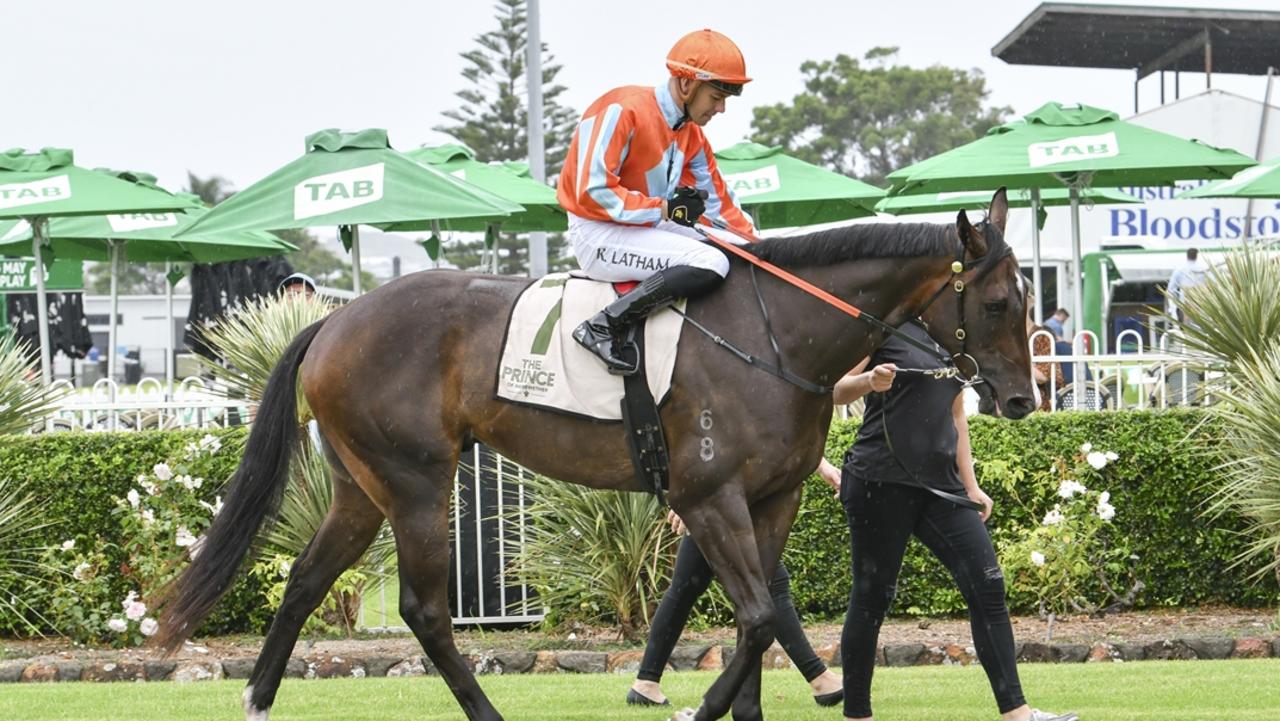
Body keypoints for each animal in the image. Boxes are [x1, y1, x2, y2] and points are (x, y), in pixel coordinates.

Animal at [160, 189, 1034, 717]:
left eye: (1026, 300)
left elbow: (762, 615)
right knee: (425, 609)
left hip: (359, 487)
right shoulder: (707, 497)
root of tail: (335, 319)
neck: (774, 333)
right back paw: (485, 710)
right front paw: (702, 704)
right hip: (415, 483)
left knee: (307, 579)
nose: (1023, 399)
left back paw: (258, 697)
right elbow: (755, 614)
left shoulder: (772, 497)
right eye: (997, 302)